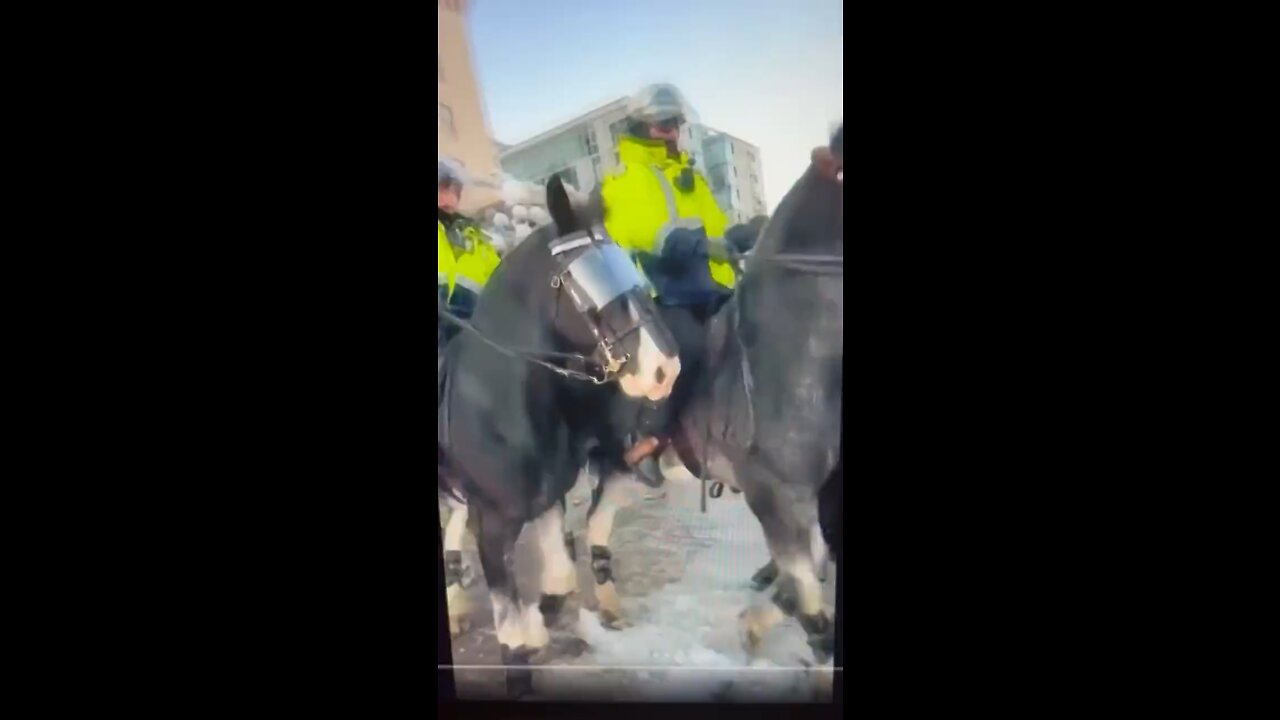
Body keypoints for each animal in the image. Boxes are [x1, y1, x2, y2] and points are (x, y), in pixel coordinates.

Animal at [437, 175, 680, 696]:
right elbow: (509, 620)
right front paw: (523, 652)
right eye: (587, 285)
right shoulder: (493, 522)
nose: (663, 369)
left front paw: (540, 625)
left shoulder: (547, 500)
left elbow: (561, 581)